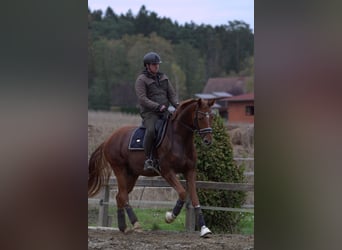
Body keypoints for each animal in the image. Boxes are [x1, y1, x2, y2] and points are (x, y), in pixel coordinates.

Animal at [89, 97, 216, 236]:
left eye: (212, 117)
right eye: (201, 118)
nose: (208, 141)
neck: (179, 139)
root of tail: (108, 139)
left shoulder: (190, 171)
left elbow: (194, 198)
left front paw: (204, 228)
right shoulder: (167, 172)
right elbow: (182, 193)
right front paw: (170, 216)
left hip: (132, 174)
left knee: (119, 196)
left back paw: (123, 227)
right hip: (119, 169)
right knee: (123, 196)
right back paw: (136, 224)